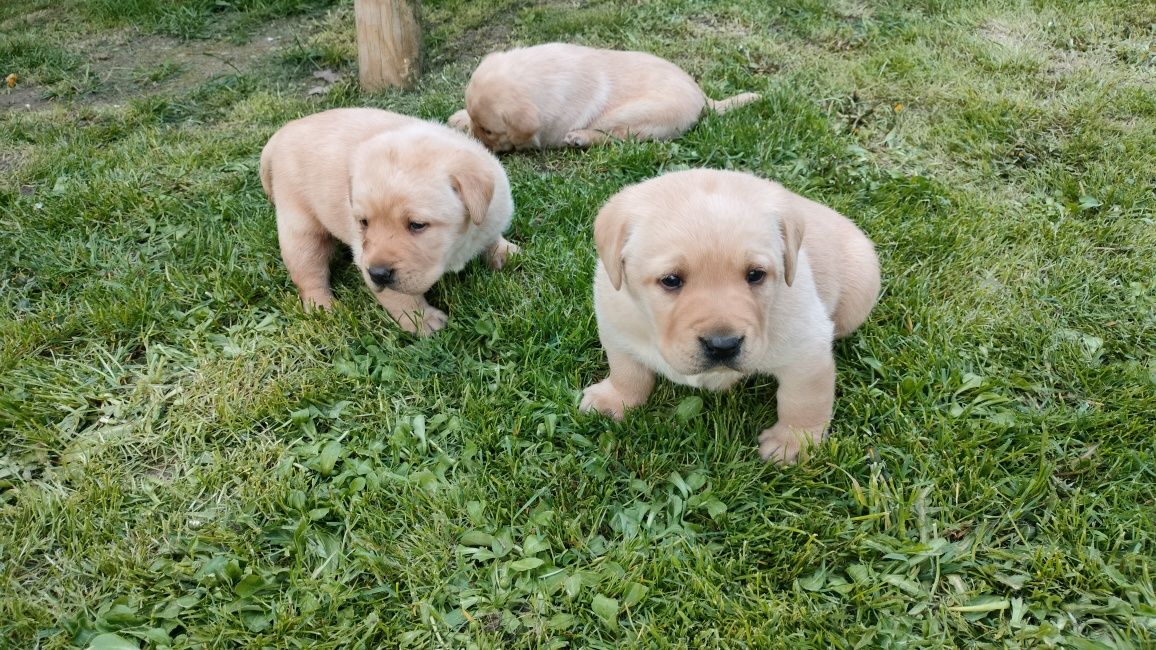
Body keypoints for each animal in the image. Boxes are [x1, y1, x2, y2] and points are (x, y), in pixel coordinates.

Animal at [262, 106, 520, 333]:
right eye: (363, 222)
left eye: (417, 225)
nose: (378, 274)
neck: (459, 244)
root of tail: (284, 132)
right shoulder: (365, 255)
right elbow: (400, 297)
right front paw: (422, 320)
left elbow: (491, 236)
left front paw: (503, 251)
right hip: (300, 228)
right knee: (309, 272)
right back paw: (323, 307)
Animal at [446, 42, 762, 151]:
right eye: (478, 123)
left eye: (489, 131)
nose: (478, 141)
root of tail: (704, 98)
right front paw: (460, 118)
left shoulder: (537, 134)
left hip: (635, 116)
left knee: (618, 138)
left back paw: (581, 138)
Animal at [582, 166, 878, 460]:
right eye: (671, 280)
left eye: (756, 274)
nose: (723, 345)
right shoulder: (615, 322)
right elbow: (626, 370)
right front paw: (613, 399)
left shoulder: (807, 349)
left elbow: (803, 400)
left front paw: (792, 442)